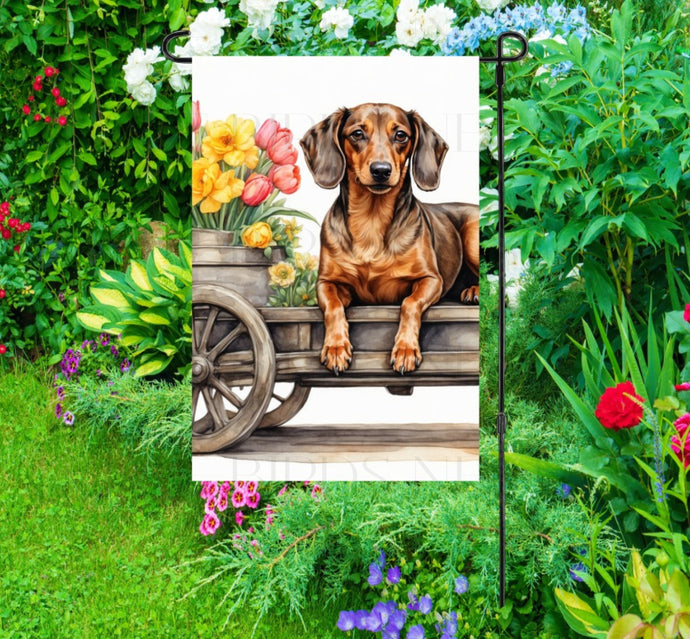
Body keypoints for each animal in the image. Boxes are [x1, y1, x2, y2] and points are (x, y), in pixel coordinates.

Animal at [300, 104, 478, 376]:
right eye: (357, 133)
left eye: (401, 135)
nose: (381, 170)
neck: (371, 222)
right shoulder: (327, 282)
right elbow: (333, 306)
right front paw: (336, 348)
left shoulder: (431, 279)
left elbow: (409, 303)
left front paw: (405, 350)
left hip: (471, 236)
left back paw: (474, 290)